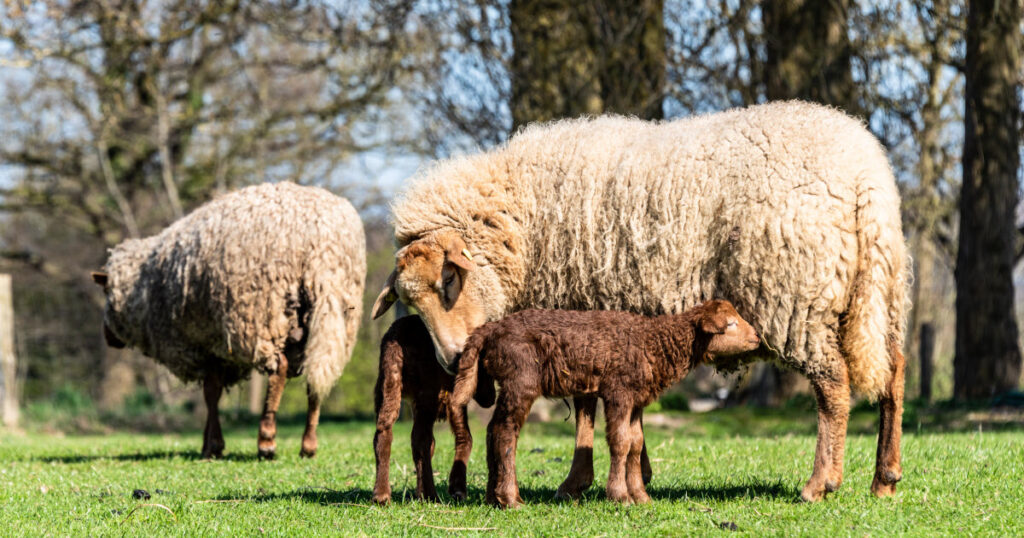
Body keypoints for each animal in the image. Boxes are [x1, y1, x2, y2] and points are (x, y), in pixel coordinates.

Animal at [91, 182, 364, 459]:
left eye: (106, 292)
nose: (107, 337)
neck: (144, 289)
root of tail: (322, 244)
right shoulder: (217, 346)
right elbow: (214, 390)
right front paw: (208, 444)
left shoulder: (203, 344)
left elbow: (211, 392)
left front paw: (212, 446)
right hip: (330, 317)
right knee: (317, 376)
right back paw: (308, 445)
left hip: (262, 316)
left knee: (279, 370)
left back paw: (267, 441)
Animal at [372, 315, 495, 504]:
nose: (491, 399)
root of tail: (401, 332)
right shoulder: (453, 396)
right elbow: (465, 437)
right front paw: (457, 488)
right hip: (426, 390)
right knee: (421, 439)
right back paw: (431, 495)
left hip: (388, 380)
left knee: (384, 431)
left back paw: (382, 495)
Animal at [448, 299, 761, 506]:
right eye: (731, 324)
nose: (758, 337)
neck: (655, 344)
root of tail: (488, 330)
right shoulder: (618, 391)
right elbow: (620, 441)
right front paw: (620, 496)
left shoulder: (636, 399)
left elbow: (635, 443)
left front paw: (641, 497)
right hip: (520, 379)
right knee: (505, 432)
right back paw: (511, 499)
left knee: (492, 429)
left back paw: (493, 497)